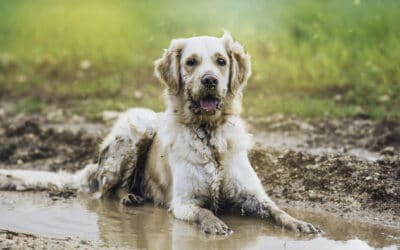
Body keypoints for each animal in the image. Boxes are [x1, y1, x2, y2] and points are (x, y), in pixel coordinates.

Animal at [0, 31, 318, 234]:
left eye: (221, 61)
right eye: (191, 62)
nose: (210, 80)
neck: (208, 134)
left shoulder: (252, 194)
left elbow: (277, 209)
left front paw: (299, 223)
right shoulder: (183, 202)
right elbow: (204, 211)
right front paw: (214, 224)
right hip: (137, 127)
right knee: (105, 192)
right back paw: (128, 196)